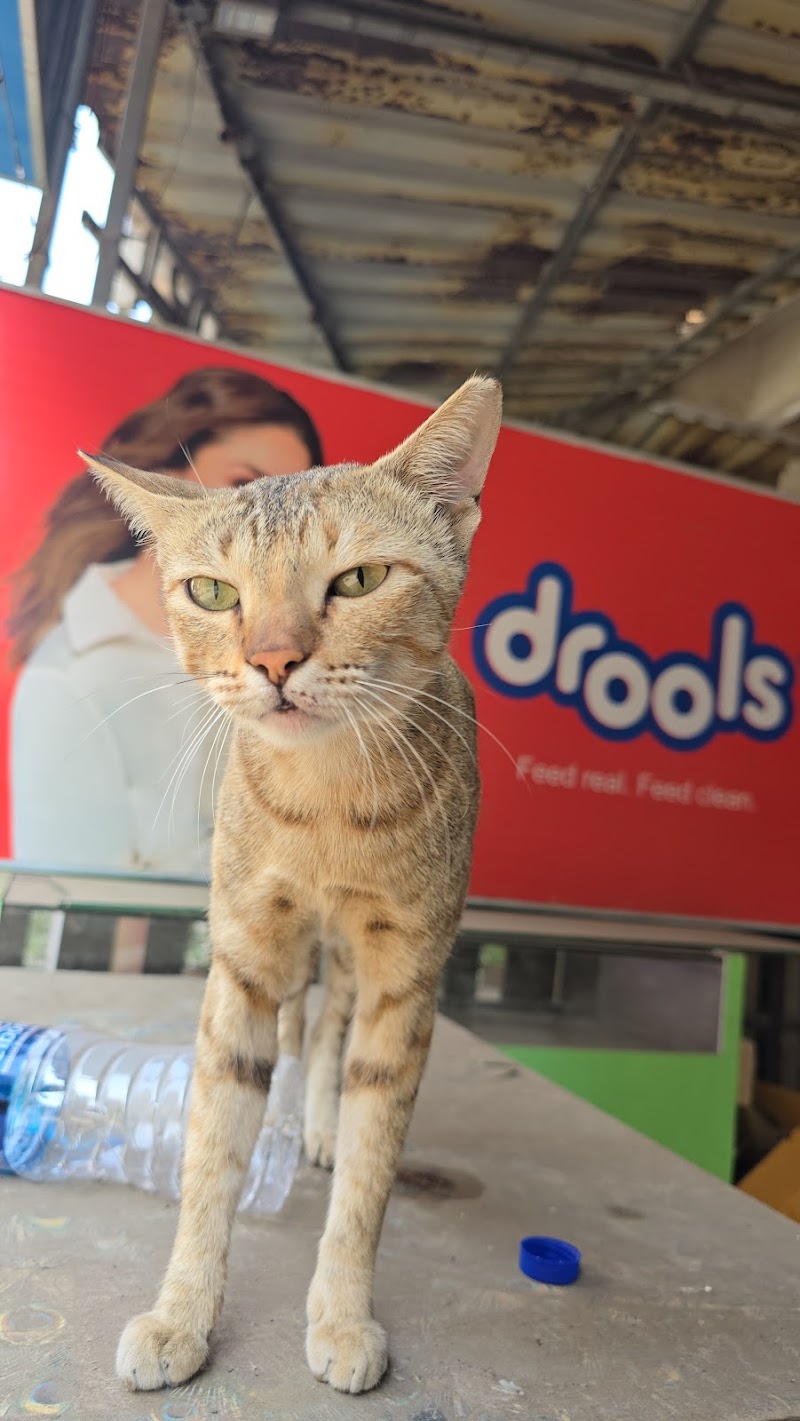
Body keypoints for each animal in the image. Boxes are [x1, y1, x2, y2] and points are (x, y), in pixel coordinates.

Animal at [83, 374, 502, 1395]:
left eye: (358, 580)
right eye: (212, 591)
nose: (273, 659)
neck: (325, 813)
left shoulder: (404, 978)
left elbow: (369, 1171)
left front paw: (342, 1312)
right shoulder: (243, 955)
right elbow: (209, 1155)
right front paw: (182, 1311)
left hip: (352, 962)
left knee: (326, 1036)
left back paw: (314, 1121)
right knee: (300, 1026)